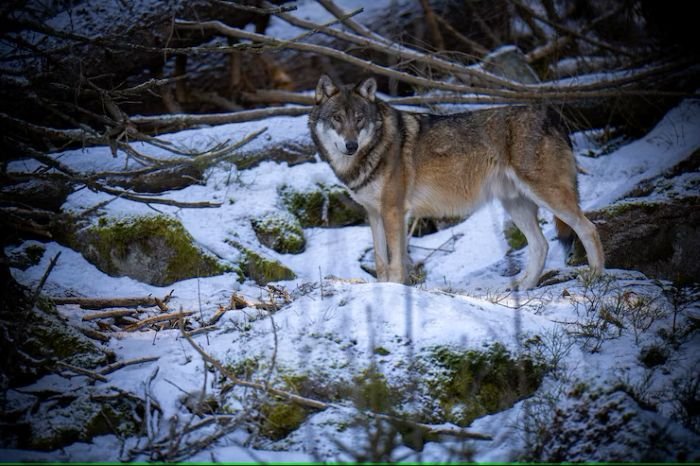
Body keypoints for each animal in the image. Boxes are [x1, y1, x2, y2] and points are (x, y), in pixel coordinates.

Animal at [308, 74, 604, 289]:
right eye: (337, 118)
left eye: (359, 119)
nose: (351, 145)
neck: (373, 151)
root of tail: (553, 118)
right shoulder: (374, 213)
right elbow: (381, 261)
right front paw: (383, 290)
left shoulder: (394, 211)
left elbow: (396, 263)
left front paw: (394, 290)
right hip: (515, 205)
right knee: (541, 245)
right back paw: (524, 286)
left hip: (547, 196)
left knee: (588, 228)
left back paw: (595, 276)